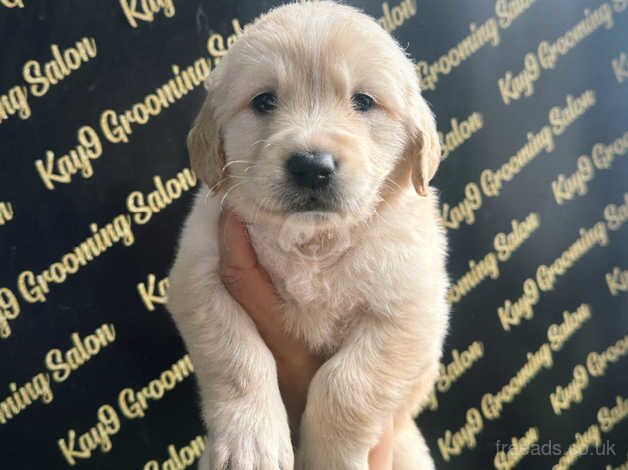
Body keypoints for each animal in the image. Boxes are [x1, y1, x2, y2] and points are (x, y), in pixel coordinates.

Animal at [167, 1, 448, 468]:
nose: (312, 166)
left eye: (363, 101)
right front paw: (250, 443)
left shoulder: (412, 308)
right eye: (264, 100)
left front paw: (329, 456)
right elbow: (235, 358)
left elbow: (347, 384)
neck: (311, 242)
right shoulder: (199, 272)